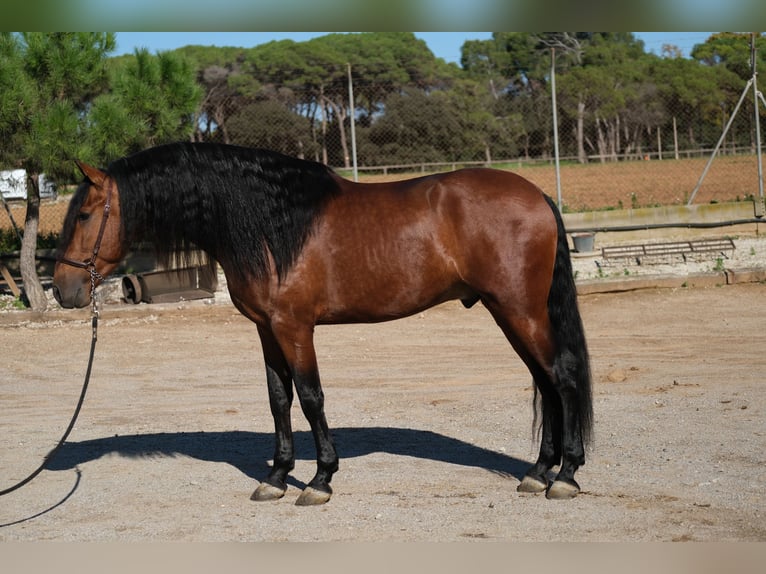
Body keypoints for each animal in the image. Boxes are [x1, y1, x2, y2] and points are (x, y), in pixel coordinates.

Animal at [54, 142, 592, 506]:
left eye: (83, 215)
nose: (63, 290)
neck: (270, 225)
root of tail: (538, 195)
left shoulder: (294, 327)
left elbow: (311, 397)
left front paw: (319, 480)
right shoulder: (266, 328)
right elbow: (279, 399)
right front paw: (276, 477)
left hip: (520, 311)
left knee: (562, 378)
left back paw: (565, 475)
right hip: (510, 313)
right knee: (545, 382)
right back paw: (538, 471)